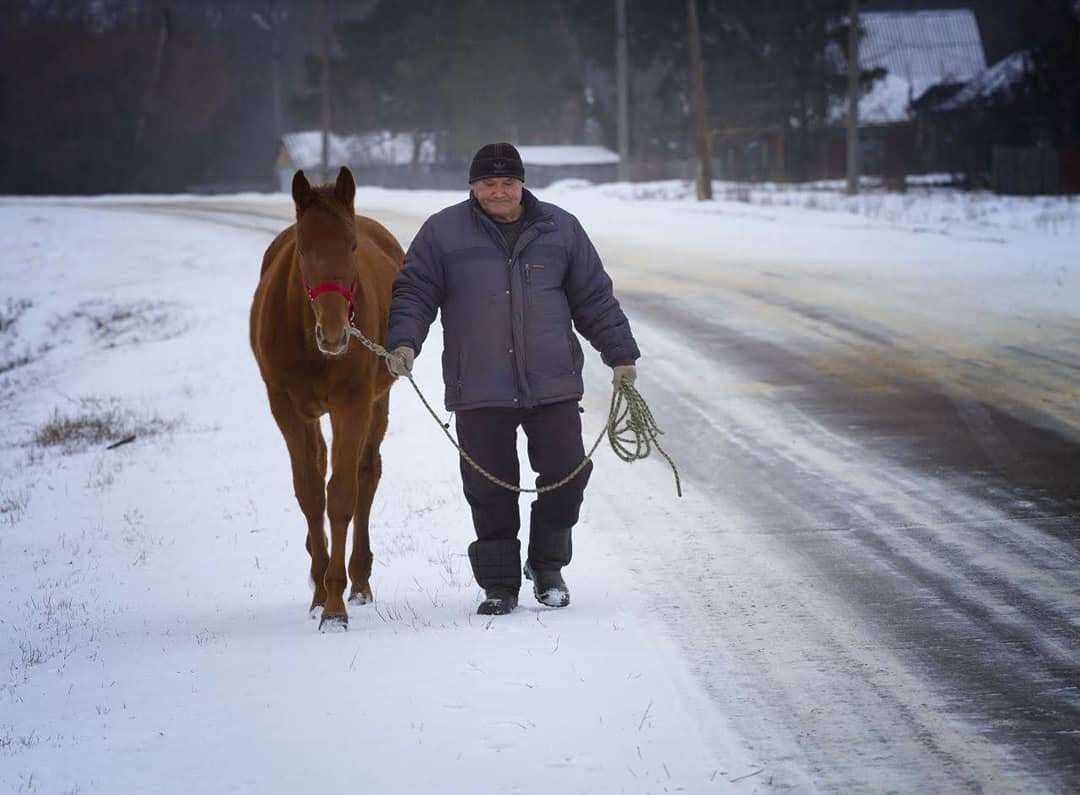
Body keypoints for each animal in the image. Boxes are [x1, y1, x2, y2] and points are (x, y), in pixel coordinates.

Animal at [250, 167, 403, 635]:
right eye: (303, 247)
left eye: (351, 245)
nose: (334, 334)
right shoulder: (284, 407)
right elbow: (310, 493)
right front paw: (320, 592)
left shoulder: (351, 406)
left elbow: (341, 495)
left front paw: (336, 603)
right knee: (318, 468)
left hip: (377, 404)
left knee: (367, 475)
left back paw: (360, 582)